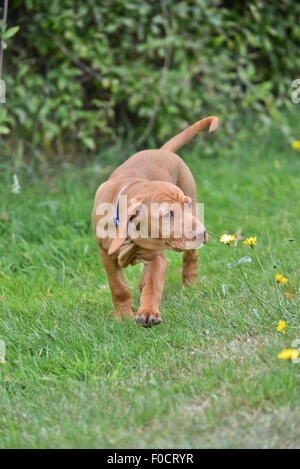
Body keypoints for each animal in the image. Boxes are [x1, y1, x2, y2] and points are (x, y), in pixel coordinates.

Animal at [91, 115, 218, 326]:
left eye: (187, 205)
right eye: (168, 215)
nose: (202, 233)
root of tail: (162, 151)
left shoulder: (157, 256)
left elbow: (153, 287)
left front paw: (148, 312)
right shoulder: (106, 255)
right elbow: (118, 287)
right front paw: (122, 316)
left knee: (191, 257)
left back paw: (189, 286)